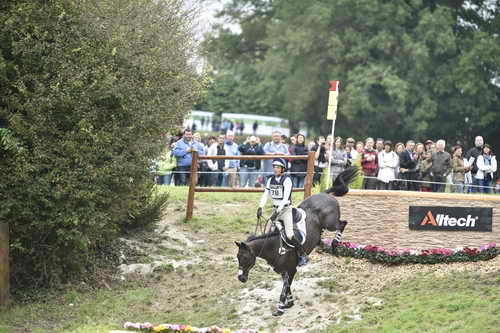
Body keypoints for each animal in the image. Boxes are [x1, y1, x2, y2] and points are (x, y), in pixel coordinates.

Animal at [235, 166, 358, 314]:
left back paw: (334, 245)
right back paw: (323, 245)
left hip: (331, 223)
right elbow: (286, 287)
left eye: (245, 258)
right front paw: (289, 303)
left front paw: (280, 308)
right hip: (322, 228)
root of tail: (325, 194)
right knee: (322, 236)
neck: (273, 247)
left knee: (343, 224)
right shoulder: (283, 271)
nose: (241, 278)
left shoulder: (291, 269)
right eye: (238, 257)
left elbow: (284, 289)